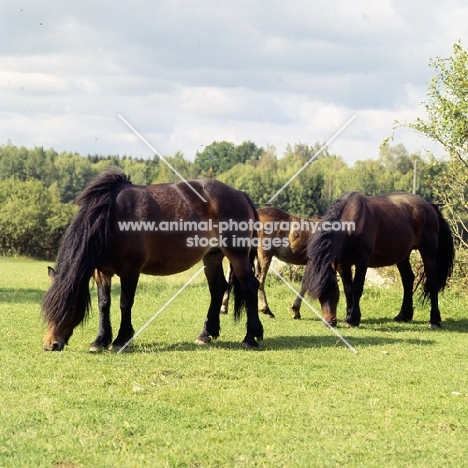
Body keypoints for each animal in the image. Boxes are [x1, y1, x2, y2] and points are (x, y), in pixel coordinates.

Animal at [42, 167, 264, 352]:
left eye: (69, 307)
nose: (50, 344)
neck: (109, 219)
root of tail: (239, 194)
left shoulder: (130, 270)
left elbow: (125, 302)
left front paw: (121, 339)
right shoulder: (102, 271)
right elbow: (104, 303)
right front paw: (100, 340)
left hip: (237, 254)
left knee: (250, 286)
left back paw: (250, 337)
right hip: (212, 256)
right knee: (218, 288)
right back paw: (205, 334)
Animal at [304, 192, 454, 328]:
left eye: (334, 290)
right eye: (319, 295)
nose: (330, 322)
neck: (351, 224)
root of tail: (429, 206)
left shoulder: (362, 261)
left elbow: (357, 288)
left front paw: (353, 319)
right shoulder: (343, 264)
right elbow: (348, 289)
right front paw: (348, 316)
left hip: (428, 251)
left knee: (432, 282)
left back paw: (434, 320)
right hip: (403, 256)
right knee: (408, 279)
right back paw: (404, 315)